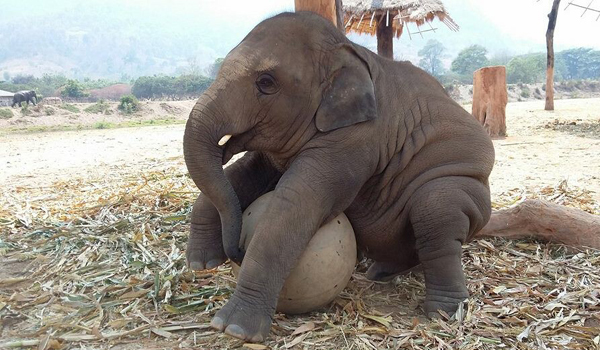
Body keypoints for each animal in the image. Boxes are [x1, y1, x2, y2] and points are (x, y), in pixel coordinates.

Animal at [183, 10, 492, 342]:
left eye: (266, 82)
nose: (237, 252)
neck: (345, 49)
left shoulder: (357, 139)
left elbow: (294, 203)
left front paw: (235, 329)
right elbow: (244, 175)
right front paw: (201, 263)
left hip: (466, 182)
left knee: (436, 214)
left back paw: (443, 313)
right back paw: (382, 273)